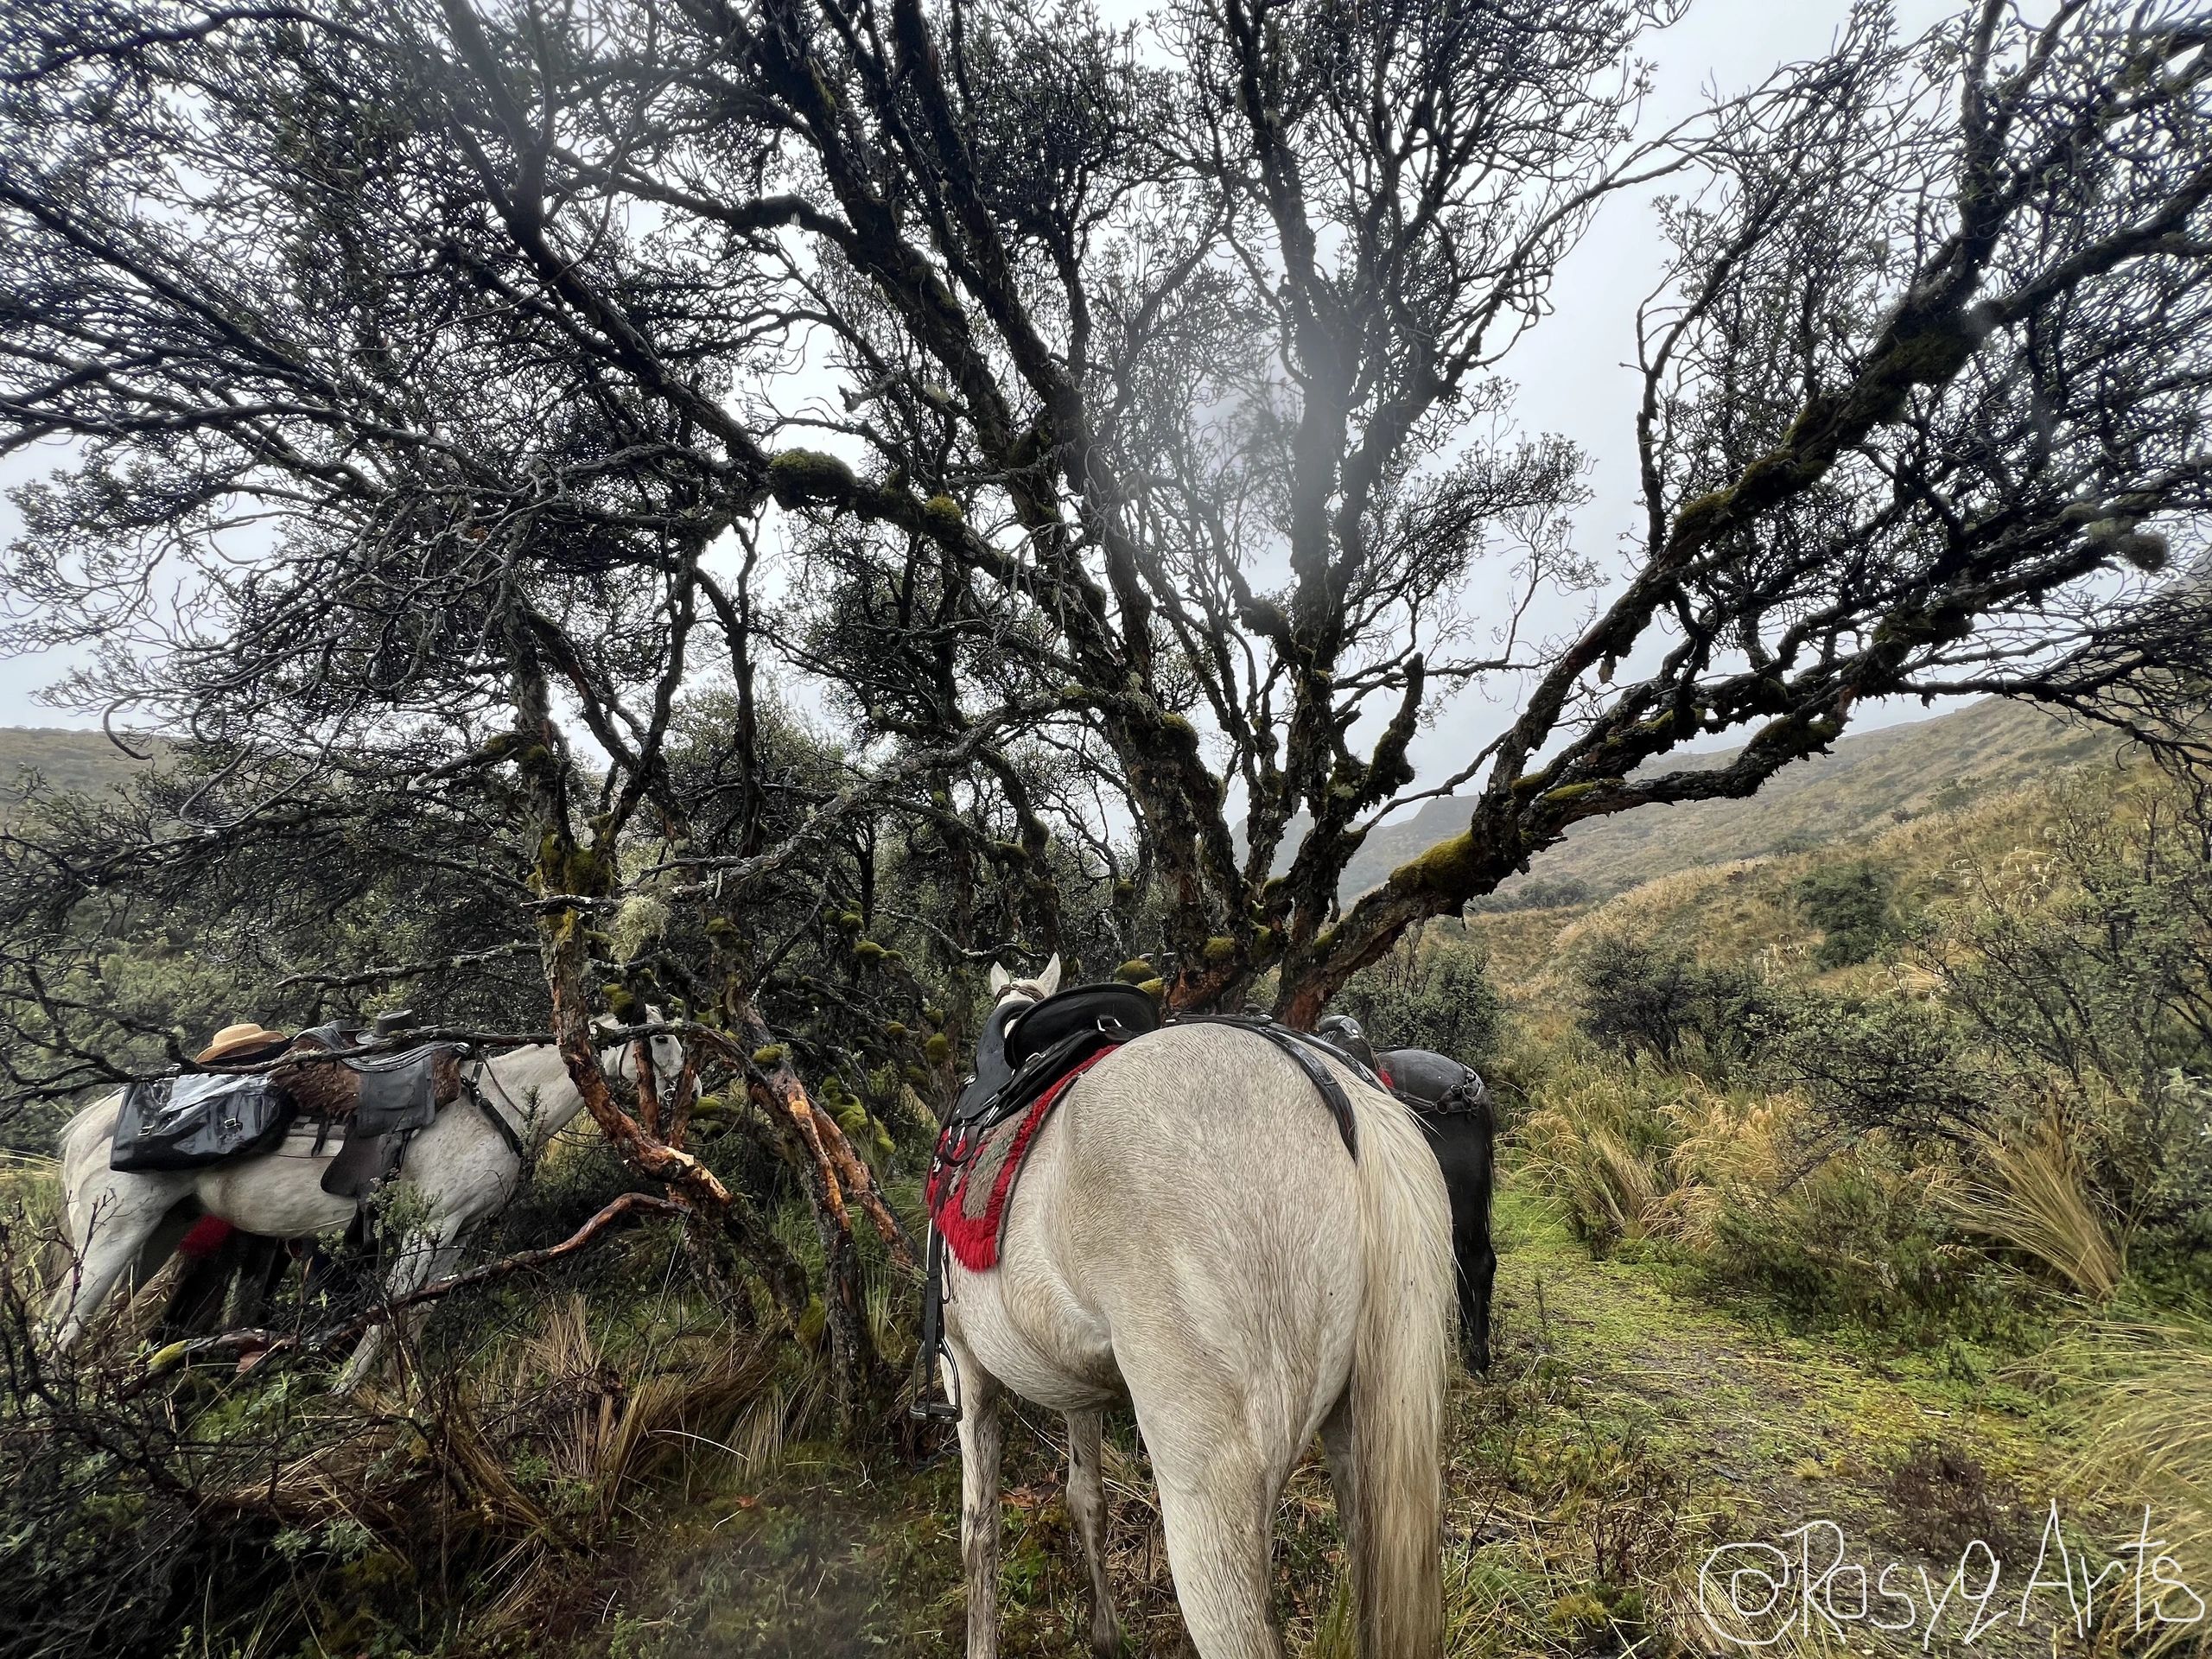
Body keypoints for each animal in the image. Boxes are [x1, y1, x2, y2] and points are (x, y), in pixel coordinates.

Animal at [44, 1026, 679, 1391]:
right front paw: (351, 1394)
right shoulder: (429, 1227)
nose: (685, 1092)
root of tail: (84, 1127)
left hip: (155, 1238)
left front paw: (404, 1390)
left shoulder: (459, 1233)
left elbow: (420, 1313)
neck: (495, 1104)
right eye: (659, 1038)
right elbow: (391, 1312)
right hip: (112, 1239)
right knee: (59, 1334)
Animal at [940, 959, 1455, 1659]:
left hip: (1210, 1511)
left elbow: (978, 1531)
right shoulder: (1080, 1390)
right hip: (1361, 1458)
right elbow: (1085, 1501)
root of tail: (1345, 1096)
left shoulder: (964, 1368)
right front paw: (1106, 1636)